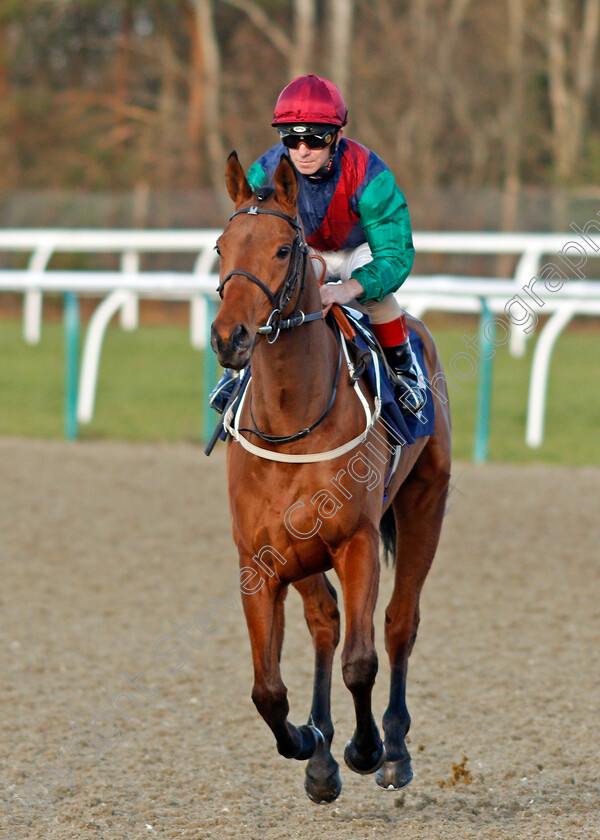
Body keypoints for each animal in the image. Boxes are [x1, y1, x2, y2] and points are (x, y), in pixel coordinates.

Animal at [211, 149, 450, 800]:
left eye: (282, 250)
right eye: (221, 246)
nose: (229, 337)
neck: (293, 417)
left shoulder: (356, 541)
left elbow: (361, 661)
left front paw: (365, 749)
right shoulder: (260, 558)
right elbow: (267, 689)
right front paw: (308, 741)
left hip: (425, 503)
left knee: (398, 623)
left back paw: (393, 749)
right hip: (303, 551)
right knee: (324, 623)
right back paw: (320, 753)